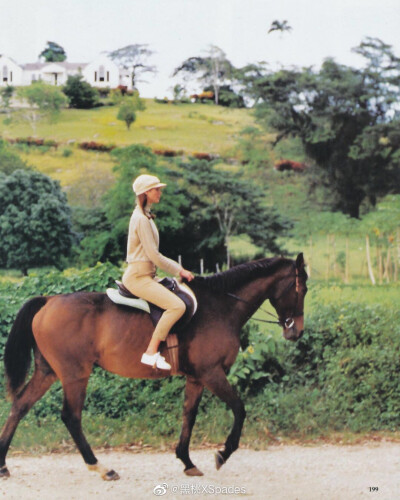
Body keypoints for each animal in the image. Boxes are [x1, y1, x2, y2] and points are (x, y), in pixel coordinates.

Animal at [0, 254, 310, 480]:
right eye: (302, 288)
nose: (296, 332)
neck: (221, 306)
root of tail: (48, 301)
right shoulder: (212, 373)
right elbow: (239, 408)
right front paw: (223, 453)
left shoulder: (197, 378)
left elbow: (189, 415)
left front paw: (186, 460)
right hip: (75, 374)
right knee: (71, 417)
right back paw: (101, 467)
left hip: (48, 372)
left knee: (20, 406)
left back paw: (3, 464)